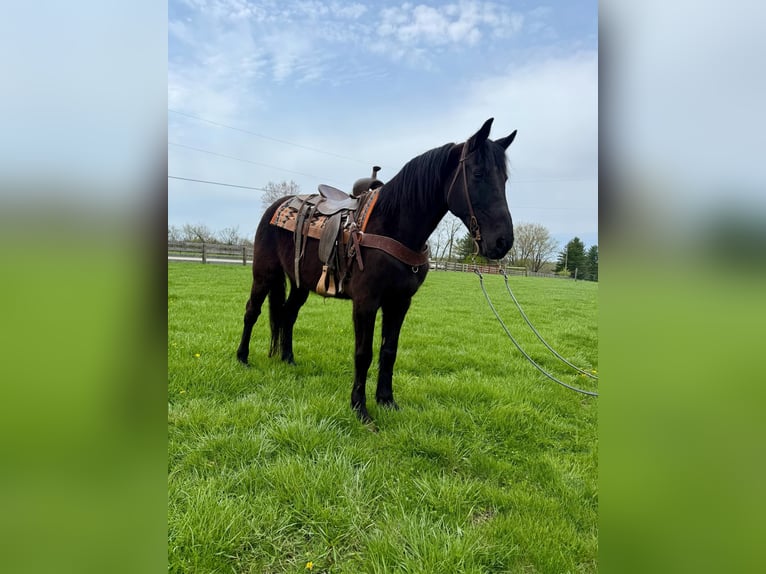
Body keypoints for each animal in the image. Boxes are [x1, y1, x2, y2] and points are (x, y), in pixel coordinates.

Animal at [236, 118, 517, 423]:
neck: (392, 225)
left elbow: (389, 351)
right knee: (252, 311)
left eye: (504, 179)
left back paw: (288, 359)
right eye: (477, 173)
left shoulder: (400, 303)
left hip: (301, 285)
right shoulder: (366, 303)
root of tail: (277, 207)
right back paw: (242, 358)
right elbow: (364, 353)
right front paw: (360, 408)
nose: (503, 242)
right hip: (264, 274)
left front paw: (386, 400)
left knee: (288, 315)